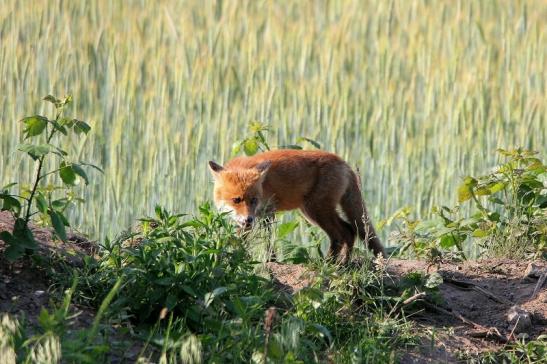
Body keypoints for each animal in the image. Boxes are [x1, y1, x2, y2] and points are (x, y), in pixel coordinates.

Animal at [209, 149, 386, 262]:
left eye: (254, 200)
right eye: (236, 200)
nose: (249, 219)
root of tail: (344, 163)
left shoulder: (267, 211)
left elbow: (268, 240)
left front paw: (270, 261)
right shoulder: (260, 216)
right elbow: (247, 240)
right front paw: (240, 256)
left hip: (316, 210)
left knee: (341, 234)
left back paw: (329, 264)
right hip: (313, 211)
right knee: (350, 230)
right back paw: (344, 264)